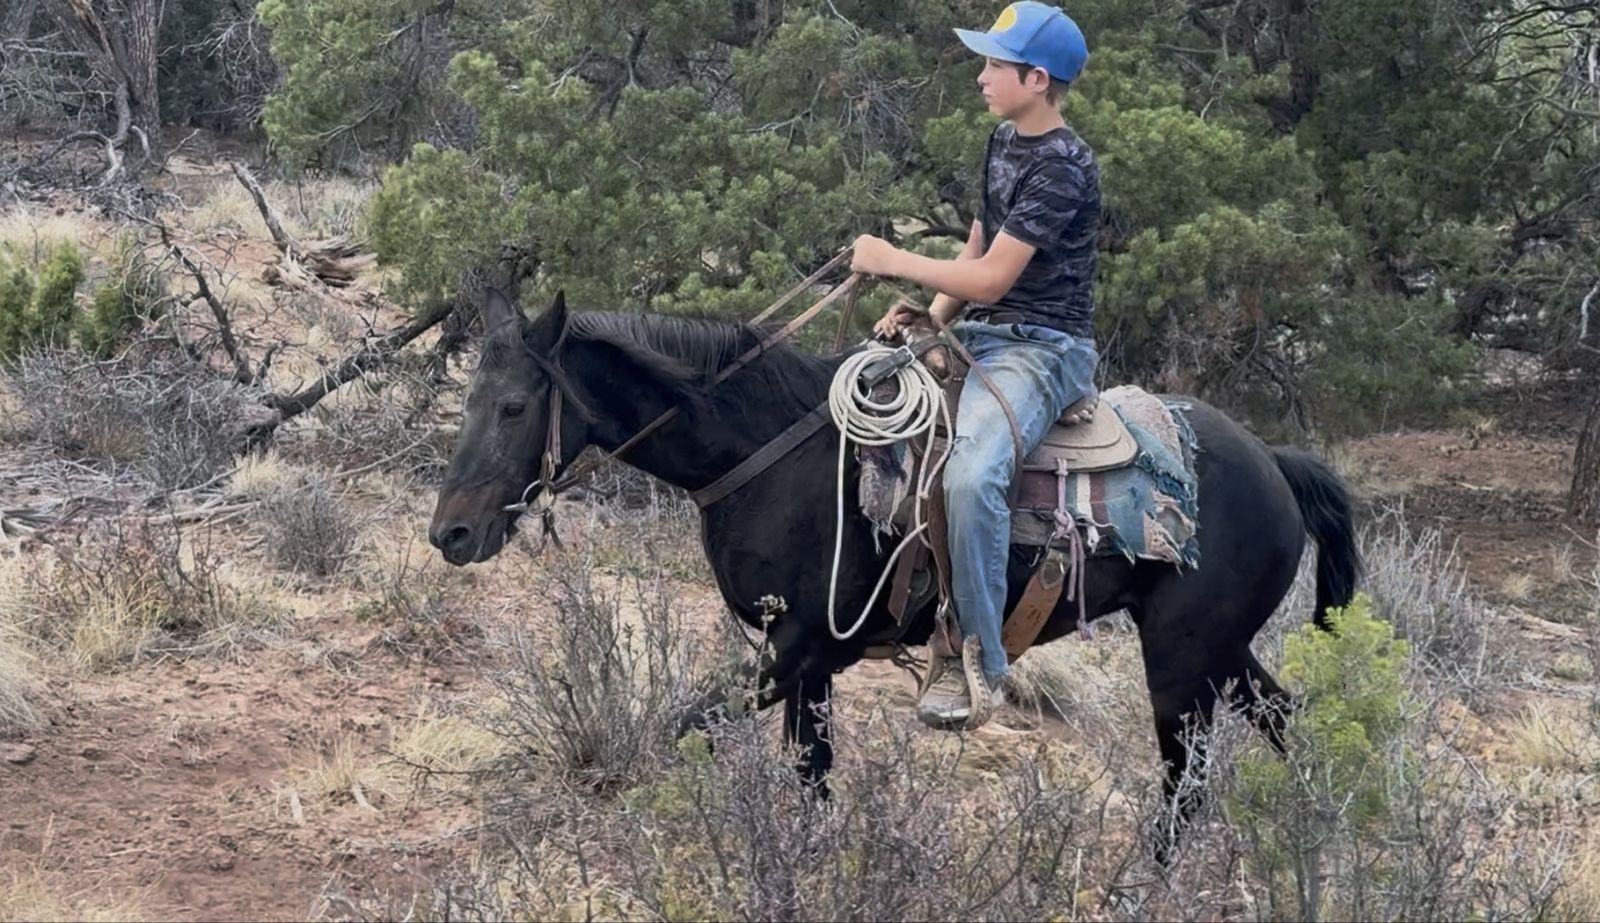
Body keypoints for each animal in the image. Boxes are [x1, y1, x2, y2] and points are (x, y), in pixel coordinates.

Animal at [428, 288, 1361, 852]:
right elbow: (809, 775)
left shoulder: (802, 649)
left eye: (514, 405)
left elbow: (691, 725)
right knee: (1286, 721)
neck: (769, 453)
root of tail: (1275, 464)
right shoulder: (802, 666)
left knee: (1184, 784)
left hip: (1180, 661)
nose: (452, 532)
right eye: (467, 396)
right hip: (1220, 650)